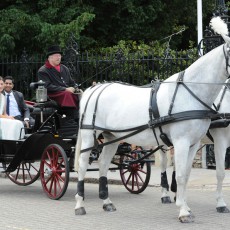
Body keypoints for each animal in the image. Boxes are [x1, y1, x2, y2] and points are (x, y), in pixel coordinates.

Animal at [73, 17, 230, 222]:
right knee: (83, 165)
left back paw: (107, 202)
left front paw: (185, 205)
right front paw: (183, 211)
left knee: (103, 164)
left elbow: (186, 175)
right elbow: (182, 175)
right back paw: (79, 204)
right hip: (89, 136)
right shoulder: (186, 141)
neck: (191, 92)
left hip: (111, 137)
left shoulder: (193, 143)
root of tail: (93, 88)